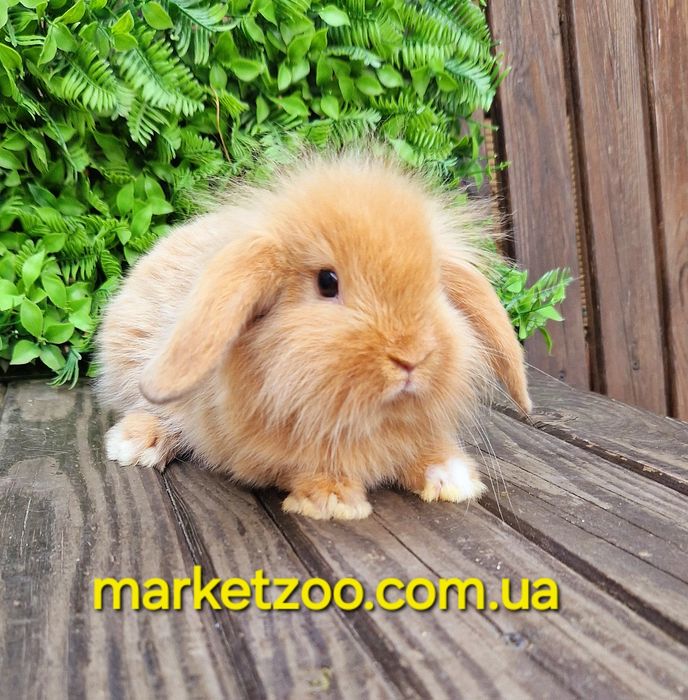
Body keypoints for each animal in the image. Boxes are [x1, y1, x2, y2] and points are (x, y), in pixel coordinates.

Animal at [96, 151, 531, 520]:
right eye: (327, 282)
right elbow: (306, 465)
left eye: (437, 285)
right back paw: (132, 445)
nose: (412, 357)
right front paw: (332, 501)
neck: (367, 418)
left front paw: (453, 477)